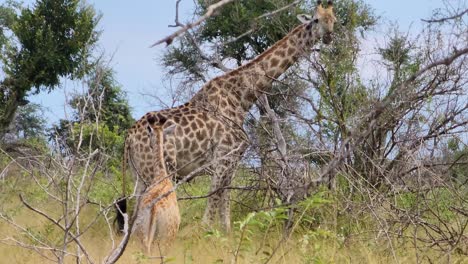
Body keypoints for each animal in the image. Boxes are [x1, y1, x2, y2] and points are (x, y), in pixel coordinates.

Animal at [117, 0, 336, 232]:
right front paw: (205, 231)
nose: (329, 36)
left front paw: (226, 232)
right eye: (316, 20)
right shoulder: (222, 156)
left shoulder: (233, 159)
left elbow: (225, 198)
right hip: (155, 170)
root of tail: (129, 137)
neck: (242, 97)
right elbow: (214, 197)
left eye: (334, 20)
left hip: (139, 173)